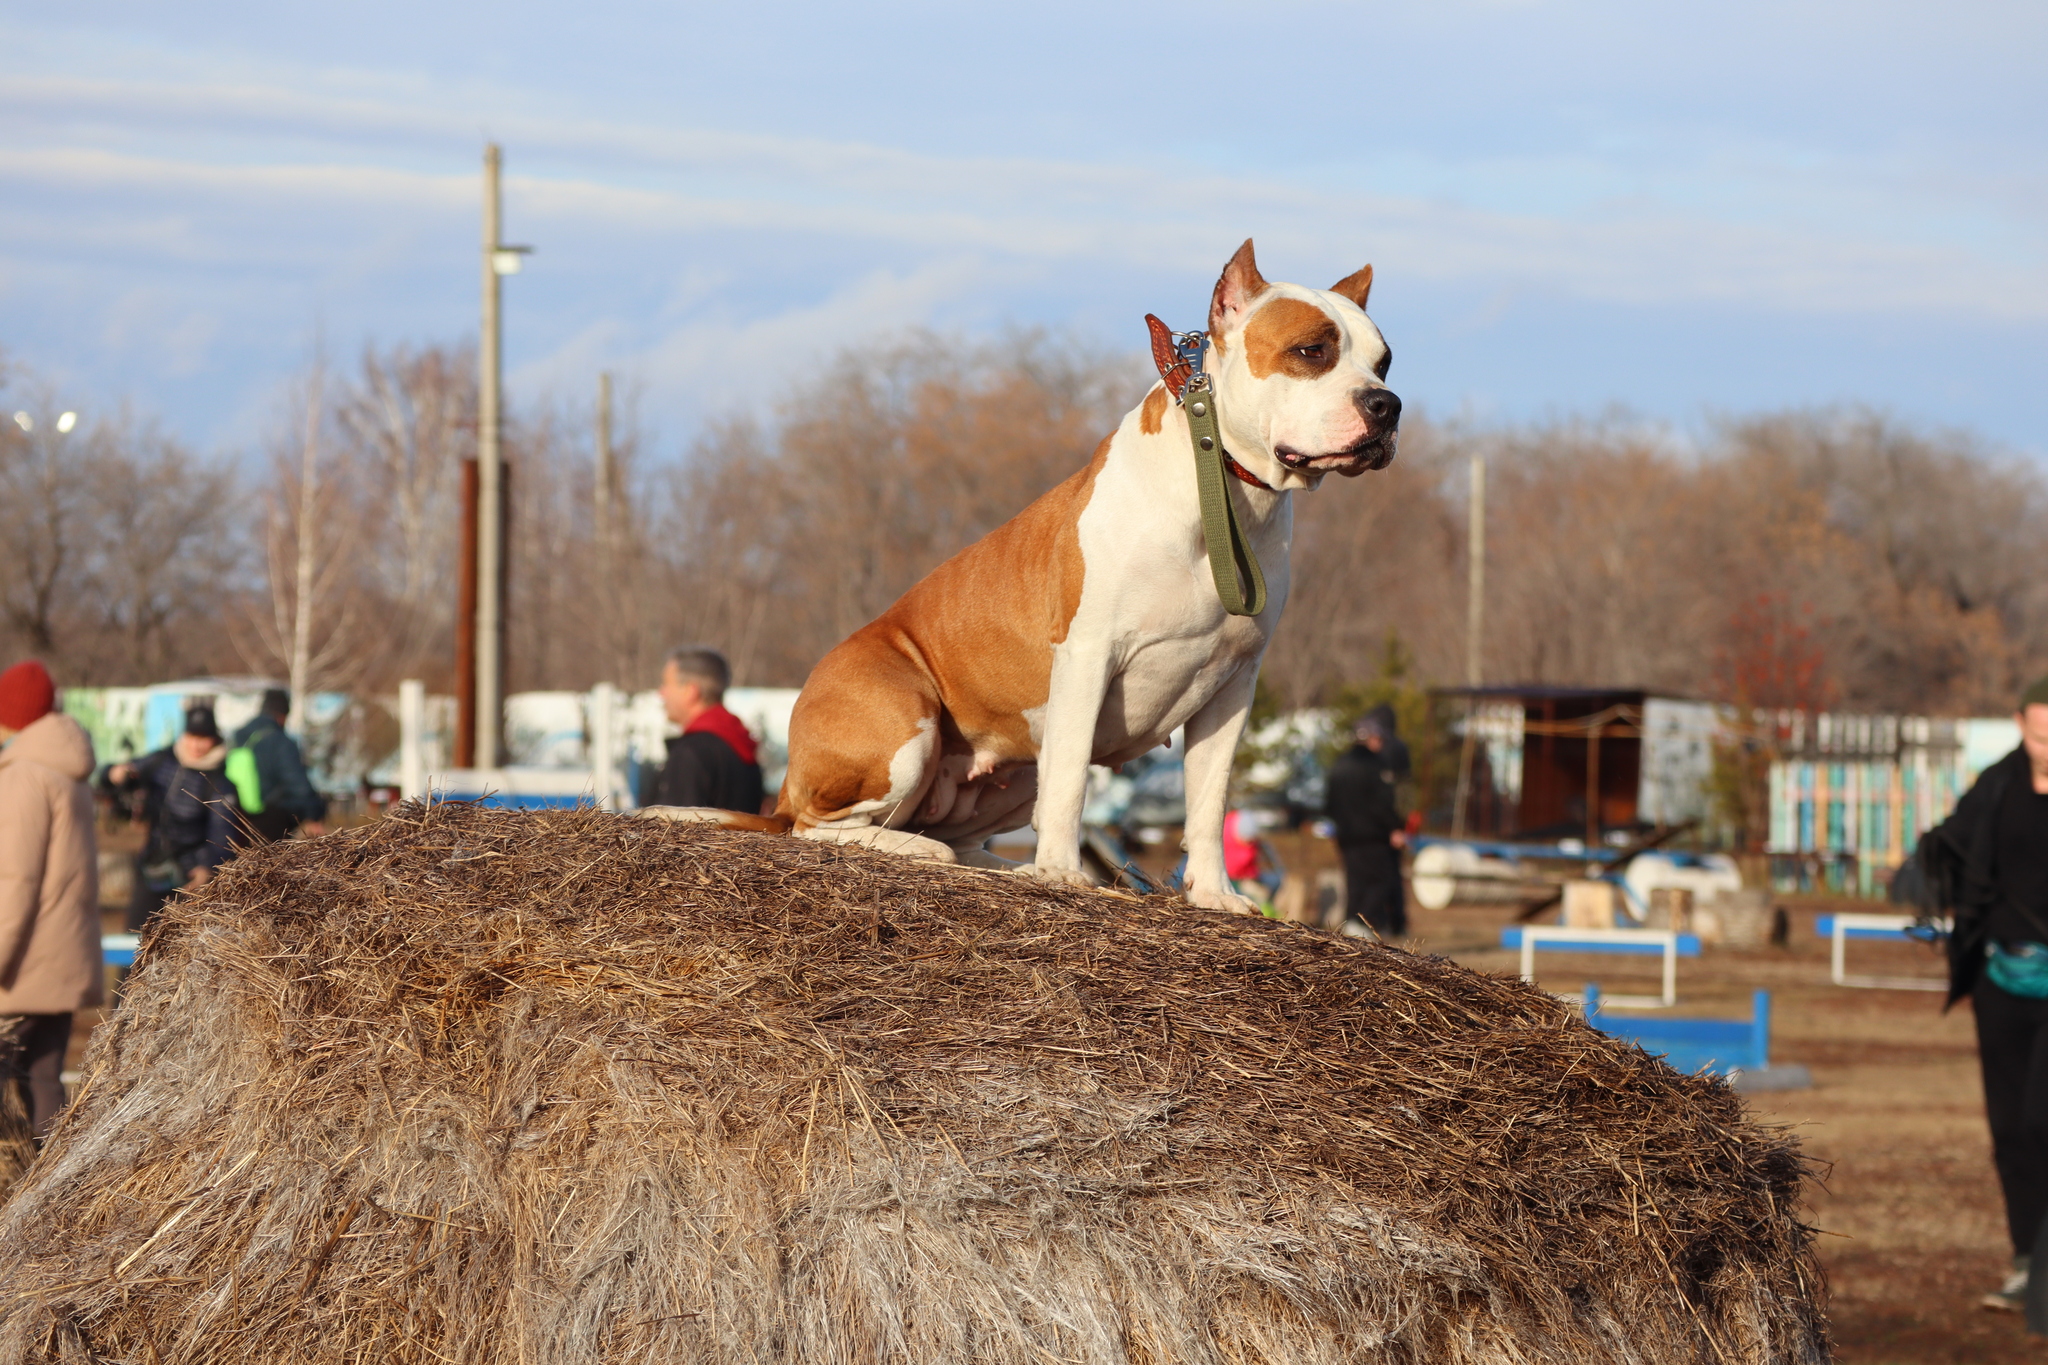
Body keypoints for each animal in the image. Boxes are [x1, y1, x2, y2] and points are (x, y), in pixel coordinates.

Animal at [679, 240, 1400, 912]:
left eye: (1383, 360)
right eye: (1311, 350)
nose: (1386, 405)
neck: (1223, 489)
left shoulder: (1234, 683)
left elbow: (1208, 797)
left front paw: (1213, 894)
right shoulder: (1087, 656)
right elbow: (1074, 778)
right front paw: (1059, 874)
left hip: (1017, 752)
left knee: (963, 826)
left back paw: (989, 865)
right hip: (905, 724)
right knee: (820, 827)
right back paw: (921, 851)